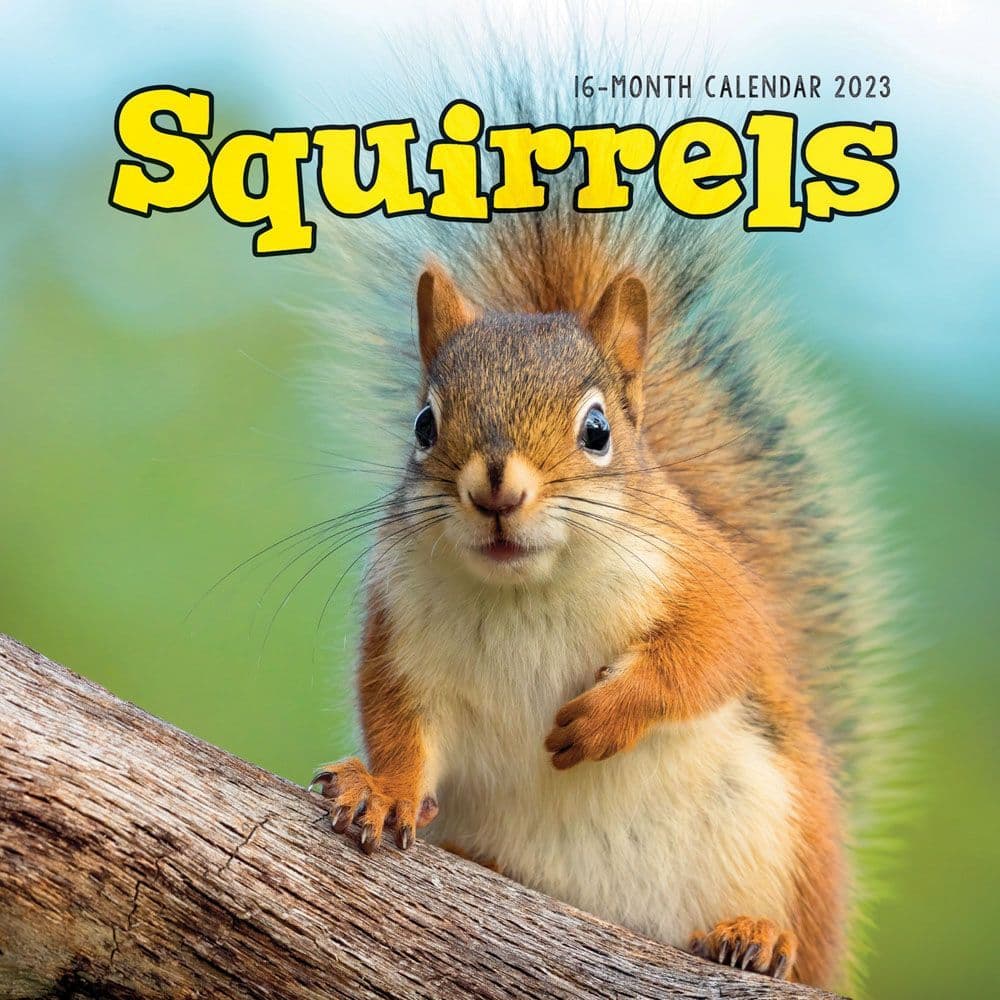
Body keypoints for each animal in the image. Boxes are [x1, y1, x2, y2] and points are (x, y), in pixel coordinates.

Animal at [308, 41, 904, 997]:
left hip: (795, 836)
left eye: (597, 431)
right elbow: (399, 723)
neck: (527, 588)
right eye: (424, 424)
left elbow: (713, 648)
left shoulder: (706, 573)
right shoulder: (400, 632)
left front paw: (606, 716)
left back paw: (757, 937)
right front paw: (383, 788)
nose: (497, 489)